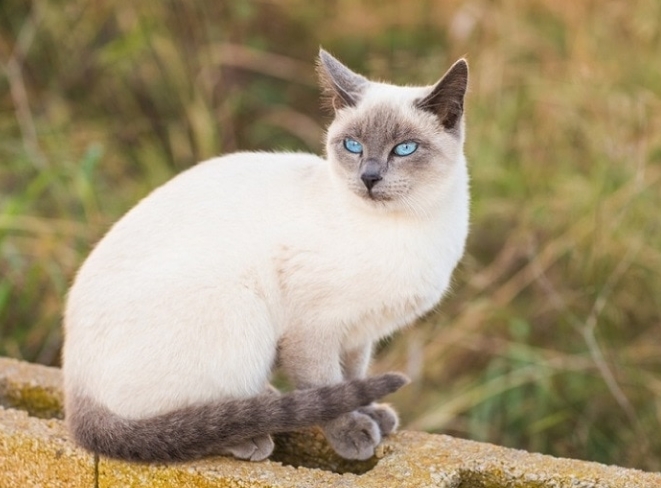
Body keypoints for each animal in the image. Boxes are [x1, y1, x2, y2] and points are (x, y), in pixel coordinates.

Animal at [59, 47, 466, 464]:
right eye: (353, 146)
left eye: (404, 149)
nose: (369, 177)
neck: (408, 226)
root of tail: (75, 387)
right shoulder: (314, 327)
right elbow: (325, 384)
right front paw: (352, 433)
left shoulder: (359, 332)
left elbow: (353, 378)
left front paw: (371, 414)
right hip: (240, 308)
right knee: (187, 419)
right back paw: (250, 434)